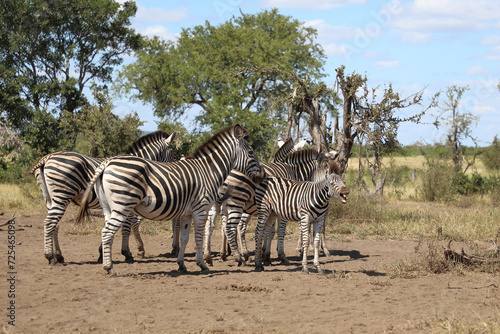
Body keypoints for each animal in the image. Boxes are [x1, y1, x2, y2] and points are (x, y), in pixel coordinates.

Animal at [30, 130, 177, 266]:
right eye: (174, 154)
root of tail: (47, 158)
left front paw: (102, 254)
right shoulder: (126, 202)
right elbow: (126, 227)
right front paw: (127, 253)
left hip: (49, 198)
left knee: (54, 225)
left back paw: (59, 256)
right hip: (62, 195)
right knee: (50, 223)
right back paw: (50, 257)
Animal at [76, 124, 264, 276]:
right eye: (250, 152)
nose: (261, 176)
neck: (208, 171)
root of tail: (107, 163)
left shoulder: (187, 213)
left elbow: (185, 238)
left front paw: (182, 265)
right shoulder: (201, 209)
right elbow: (198, 237)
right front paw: (203, 264)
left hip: (108, 207)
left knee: (107, 232)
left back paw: (107, 262)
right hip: (123, 204)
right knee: (107, 232)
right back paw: (110, 268)